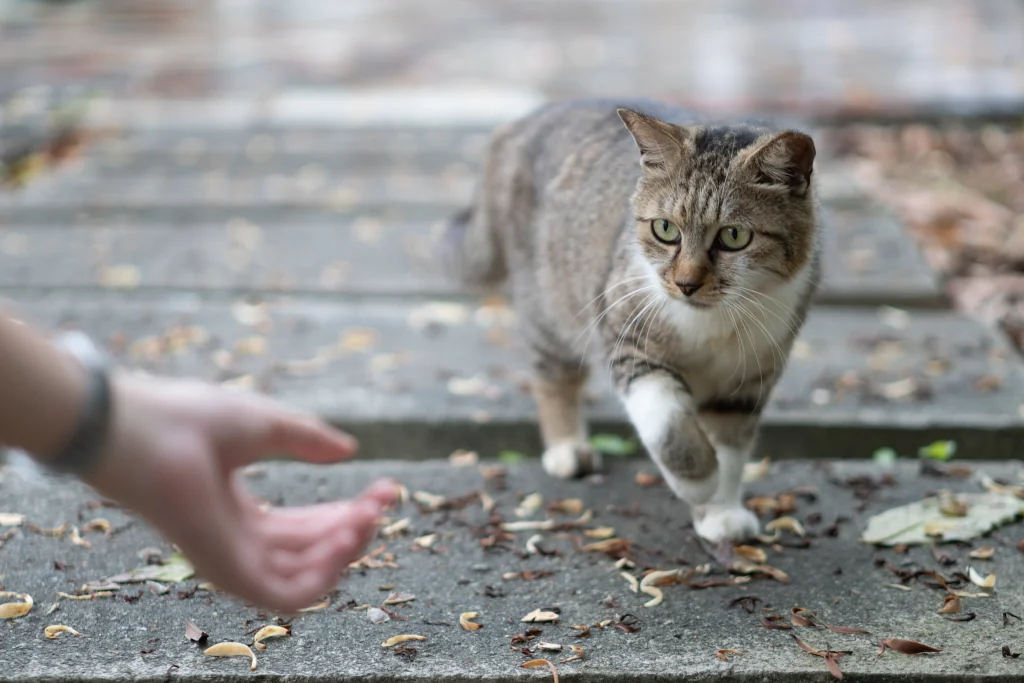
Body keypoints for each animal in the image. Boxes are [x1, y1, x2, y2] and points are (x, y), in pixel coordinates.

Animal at [436, 98, 819, 540]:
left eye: (734, 236)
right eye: (665, 229)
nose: (686, 284)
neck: (710, 325)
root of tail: (521, 125)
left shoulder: (746, 383)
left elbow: (731, 450)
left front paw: (720, 511)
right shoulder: (627, 337)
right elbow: (668, 425)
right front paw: (699, 481)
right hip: (547, 304)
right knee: (552, 376)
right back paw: (567, 446)